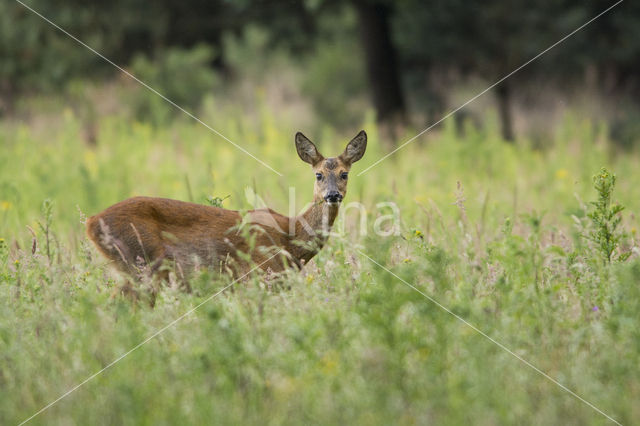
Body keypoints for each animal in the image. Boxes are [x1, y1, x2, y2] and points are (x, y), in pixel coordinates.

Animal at [86, 131, 364, 286]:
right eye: (318, 174)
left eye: (344, 174)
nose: (332, 195)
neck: (291, 239)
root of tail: (91, 222)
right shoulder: (256, 275)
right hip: (141, 262)